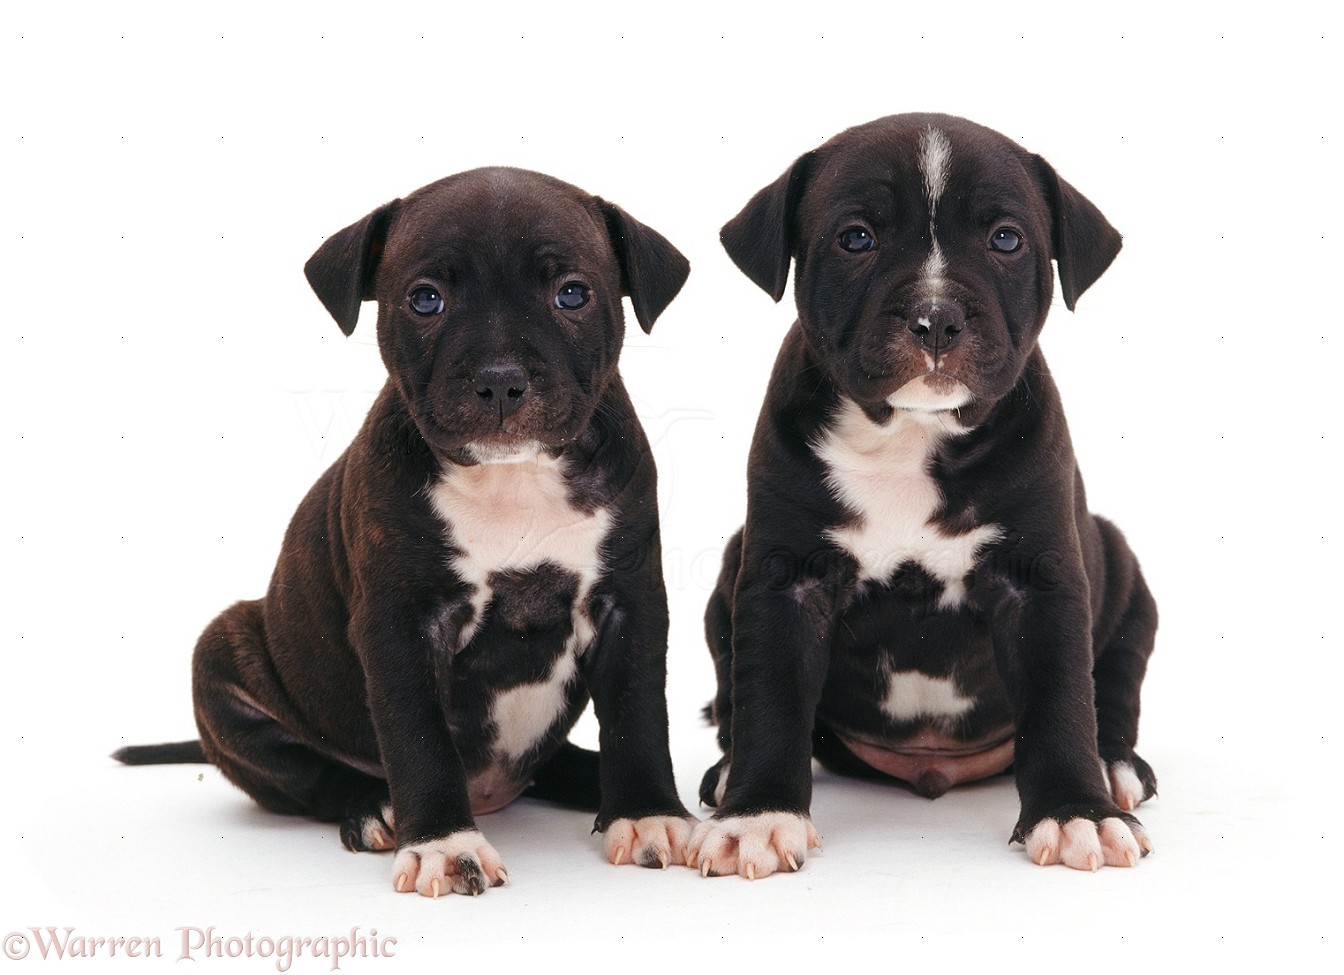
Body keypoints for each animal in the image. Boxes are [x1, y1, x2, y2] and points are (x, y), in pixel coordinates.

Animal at [118, 167, 693, 898]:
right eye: (426, 300)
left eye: (572, 293)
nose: (500, 380)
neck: (514, 479)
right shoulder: (400, 625)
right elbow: (418, 737)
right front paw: (445, 843)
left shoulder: (630, 603)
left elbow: (637, 713)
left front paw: (647, 812)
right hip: (223, 659)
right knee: (312, 776)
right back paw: (373, 810)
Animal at [693, 112, 1155, 876]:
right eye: (856, 237)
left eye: (1007, 239)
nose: (936, 317)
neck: (912, 433)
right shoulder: (783, 580)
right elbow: (769, 698)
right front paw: (756, 816)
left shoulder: (1041, 581)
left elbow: (1062, 698)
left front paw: (1076, 813)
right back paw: (727, 774)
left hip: (1123, 573)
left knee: (1113, 685)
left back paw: (1115, 766)